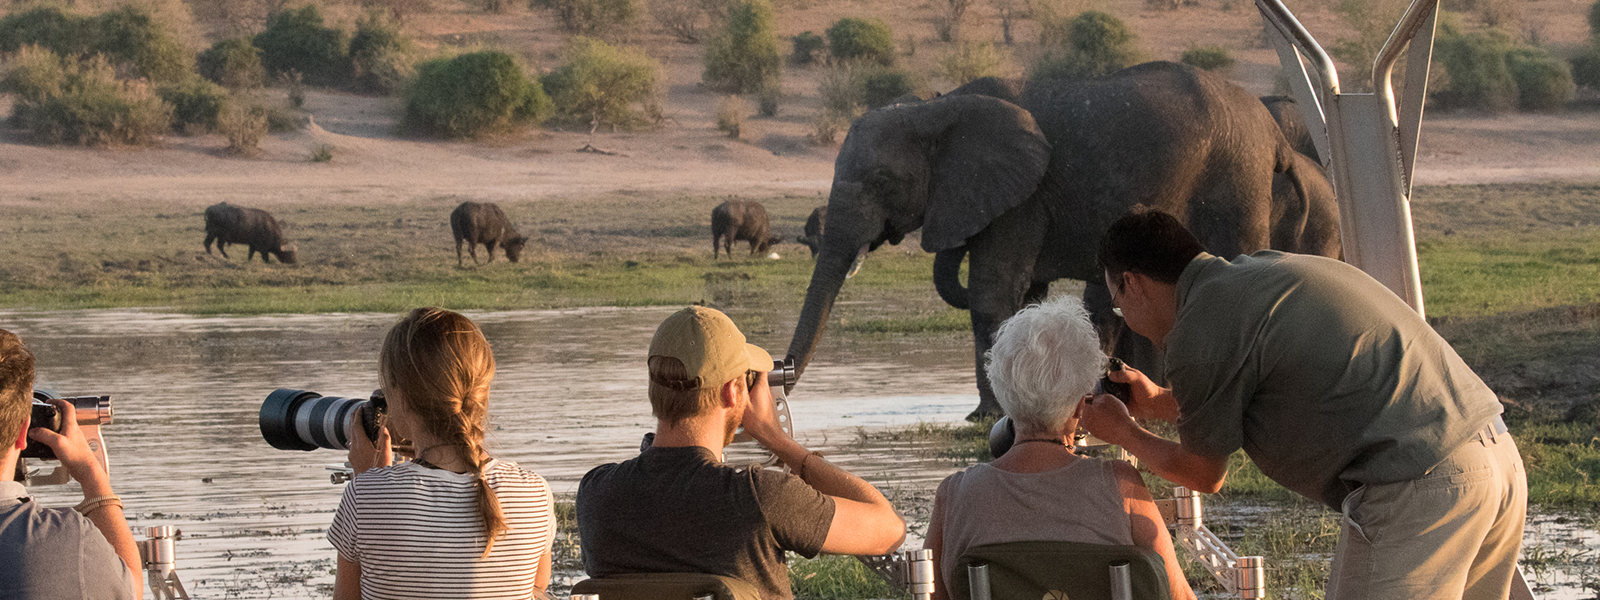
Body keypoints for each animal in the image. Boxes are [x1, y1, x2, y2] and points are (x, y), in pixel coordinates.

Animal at [787, 61, 1341, 419]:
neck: (937, 108)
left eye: (880, 181)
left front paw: (987, 415)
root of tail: (1275, 137)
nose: (776, 379)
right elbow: (1025, 296)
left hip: (1234, 181)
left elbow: (993, 291)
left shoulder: (1025, 195)